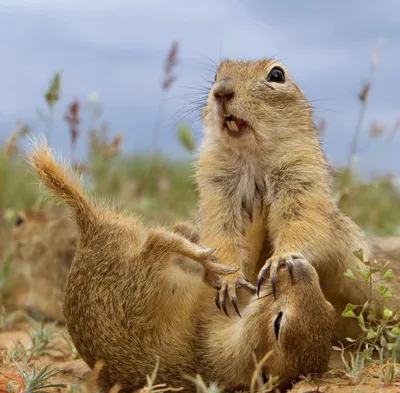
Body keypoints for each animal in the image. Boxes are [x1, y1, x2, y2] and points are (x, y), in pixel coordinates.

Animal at [26, 141, 336, 392]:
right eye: (332, 308)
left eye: (278, 324)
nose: (299, 268)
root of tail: (89, 231)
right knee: (165, 235)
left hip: (141, 276)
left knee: (156, 240)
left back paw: (204, 256)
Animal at [193, 57, 396, 340]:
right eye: (215, 75)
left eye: (277, 75)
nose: (222, 90)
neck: (253, 156)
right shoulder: (216, 187)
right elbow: (219, 233)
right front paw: (229, 280)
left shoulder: (301, 176)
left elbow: (300, 222)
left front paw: (280, 259)